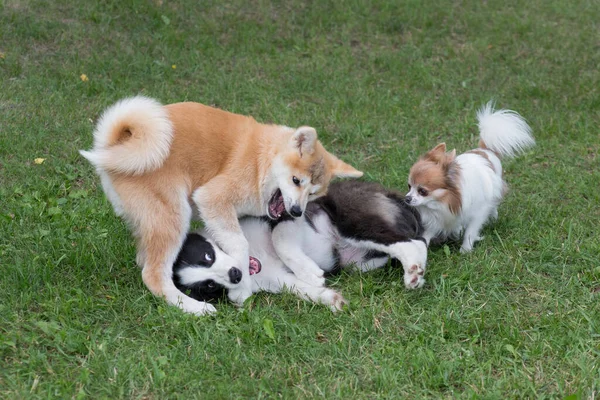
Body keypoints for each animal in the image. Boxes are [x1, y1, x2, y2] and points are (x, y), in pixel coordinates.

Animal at [79, 97, 360, 316]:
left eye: (313, 193)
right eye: (296, 180)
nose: (297, 211)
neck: (261, 161)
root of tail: (113, 147)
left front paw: (307, 273)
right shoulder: (212, 198)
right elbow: (241, 244)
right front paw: (242, 287)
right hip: (174, 216)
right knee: (153, 275)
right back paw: (194, 307)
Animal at [172, 180, 426, 312]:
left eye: (207, 256)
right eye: (208, 286)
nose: (235, 275)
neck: (255, 256)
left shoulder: (284, 216)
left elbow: (280, 241)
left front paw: (310, 272)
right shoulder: (276, 279)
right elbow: (300, 289)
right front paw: (331, 299)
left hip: (352, 221)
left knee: (414, 243)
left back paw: (413, 274)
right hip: (359, 262)